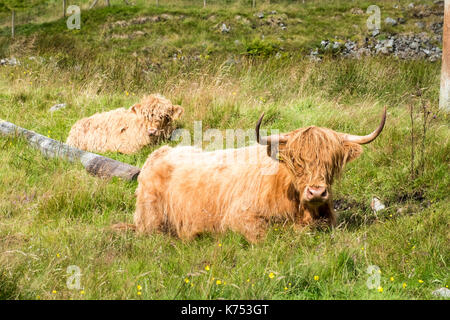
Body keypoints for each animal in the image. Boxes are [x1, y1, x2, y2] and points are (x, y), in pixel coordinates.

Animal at [130, 109, 386, 242]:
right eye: (296, 162)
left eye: (331, 161)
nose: (316, 192)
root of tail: (159, 153)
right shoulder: (238, 216)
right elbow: (264, 236)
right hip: (151, 221)